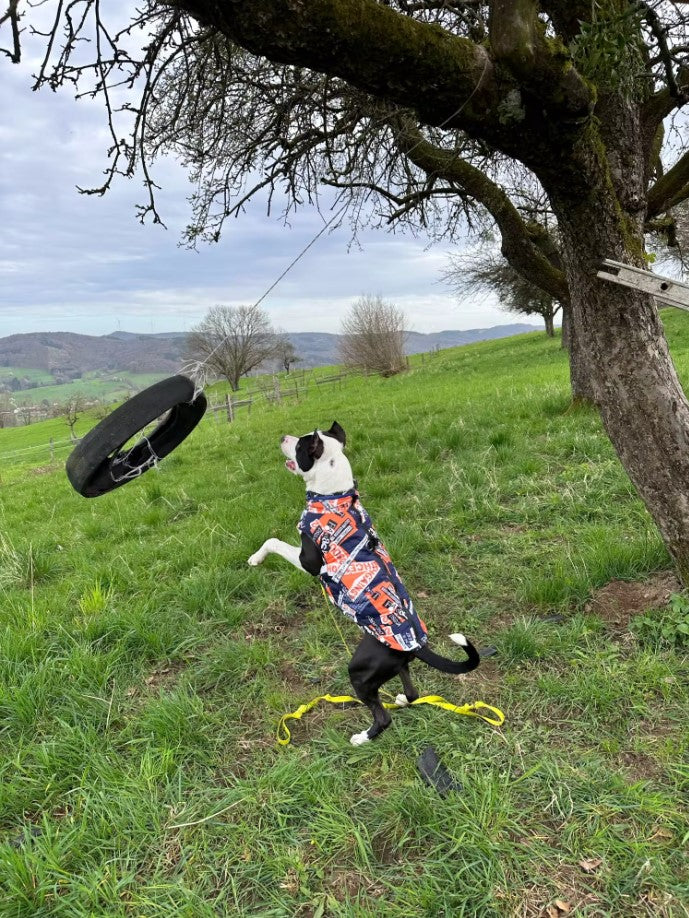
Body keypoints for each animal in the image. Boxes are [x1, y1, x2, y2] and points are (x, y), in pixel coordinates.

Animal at [247, 424, 478, 748]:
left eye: (301, 445)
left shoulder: (309, 561)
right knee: (412, 692)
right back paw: (402, 700)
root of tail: (415, 643)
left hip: (359, 671)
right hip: (395, 667)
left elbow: (274, 541)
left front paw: (255, 558)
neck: (334, 495)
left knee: (383, 716)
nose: (282, 436)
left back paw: (362, 737)